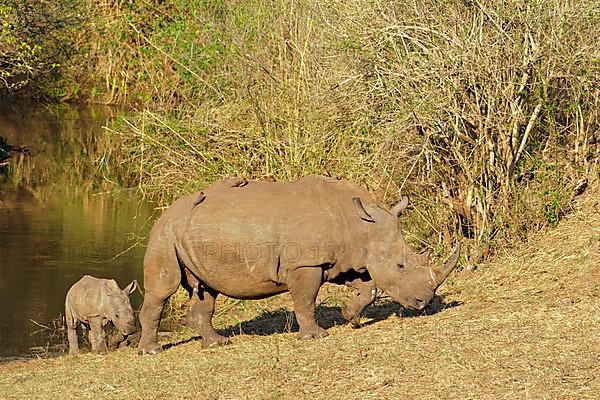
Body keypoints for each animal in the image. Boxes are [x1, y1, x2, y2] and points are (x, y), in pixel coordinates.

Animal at [137, 175, 460, 354]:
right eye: (401, 266)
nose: (425, 303)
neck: (359, 223)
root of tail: (165, 213)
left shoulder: (342, 259)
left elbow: (367, 288)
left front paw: (351, 317)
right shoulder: (306, 264)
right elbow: (305, 300)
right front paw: (316, 336)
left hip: (192, 234)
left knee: (205, 290)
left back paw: (217, 344)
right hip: (164, 234)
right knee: (163, 289)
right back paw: (152, 351)